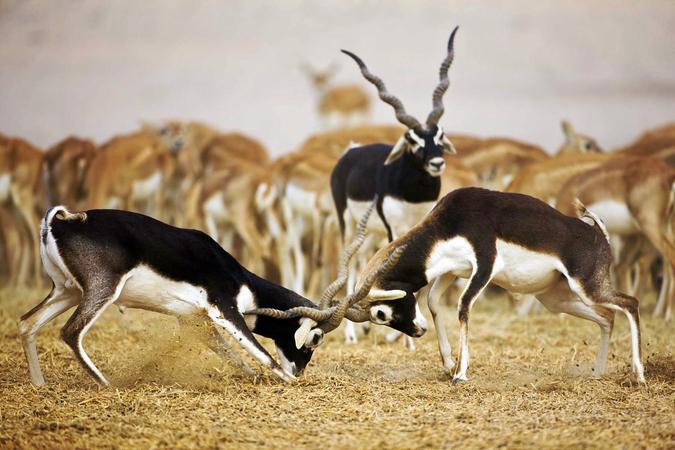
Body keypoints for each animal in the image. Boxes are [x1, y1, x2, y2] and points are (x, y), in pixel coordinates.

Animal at [18, 202, 400, 386]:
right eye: (316, 339)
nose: (301, 370)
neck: (238, 276)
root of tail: (59, 222)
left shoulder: (192, 319)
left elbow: (229, 353)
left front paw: (251, 379)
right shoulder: (224, 308)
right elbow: (262, 354)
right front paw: (287, 379)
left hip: (67, 291)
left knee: (26, 323)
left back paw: (39, 385)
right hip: (101, 290)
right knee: (70, 332)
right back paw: (106, 384)